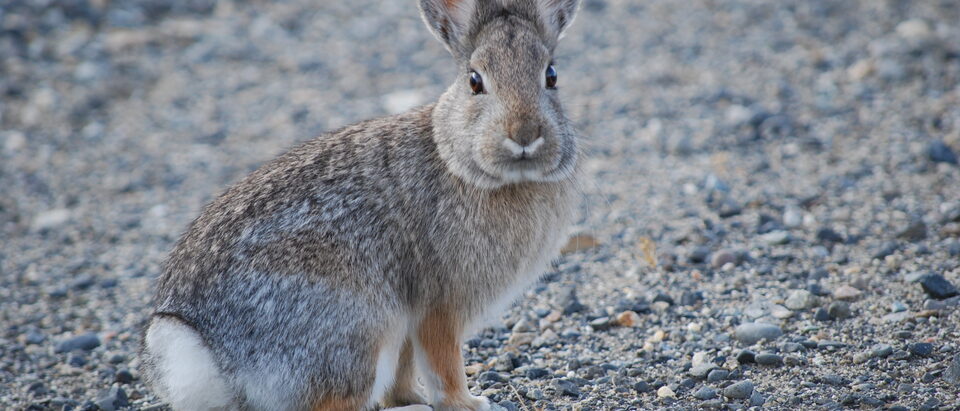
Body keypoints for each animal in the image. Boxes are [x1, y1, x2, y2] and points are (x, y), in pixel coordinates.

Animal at [140, 0, 583, 410]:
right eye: (475, 82)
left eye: (552, 76)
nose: (524, 135)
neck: (462, 161)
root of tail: (205, 348)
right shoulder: (440, 304)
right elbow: (442, 363)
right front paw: (468, 403)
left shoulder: (411, 322)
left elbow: (406, 367)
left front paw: (410, 397)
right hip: (357, 328)